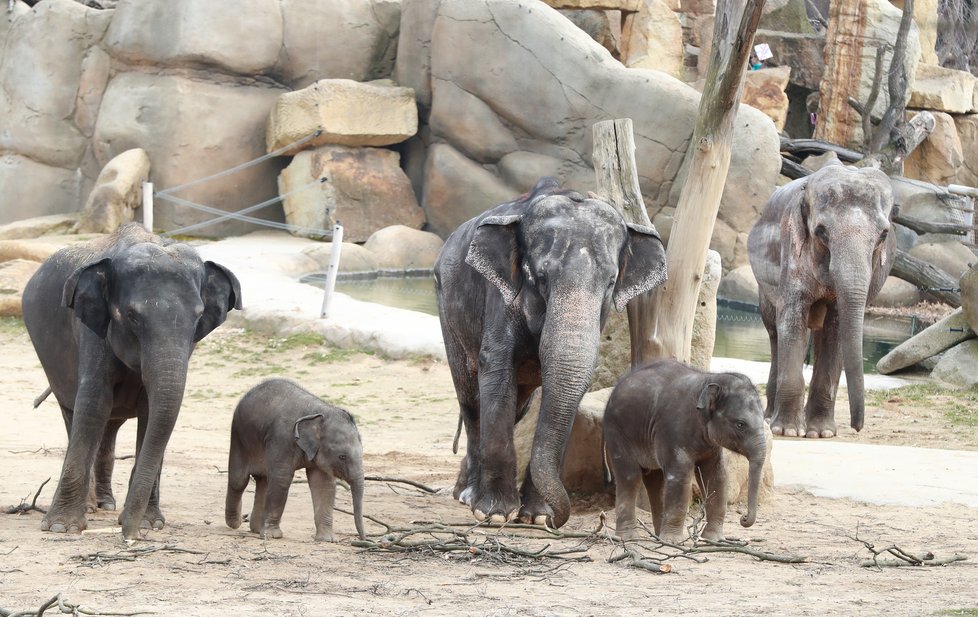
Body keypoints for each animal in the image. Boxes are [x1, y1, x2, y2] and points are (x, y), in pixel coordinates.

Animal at [22, 223, 240, 540]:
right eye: (131, 316)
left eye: (199, 317)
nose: (129, 535)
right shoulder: (93, 331)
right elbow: (94, 404)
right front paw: (62, 527)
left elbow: (152, 412)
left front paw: (150, 523)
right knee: (76, 414)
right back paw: (91, 506)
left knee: (110, 426)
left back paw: (105, 503)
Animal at [225, 378, 366, 540]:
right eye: (342, 456)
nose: (363, 538)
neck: (318, 412)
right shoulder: (282, 439)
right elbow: (282, 479)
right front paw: (273, 536)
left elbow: (324, 484)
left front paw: (327, 539)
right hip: (239, 439)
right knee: (239, 481)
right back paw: (235, 523)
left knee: (263, 481)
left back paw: (256, 529)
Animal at [432, 176, 664, 528]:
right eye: (539, 277)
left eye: (611, 282)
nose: (557, 520)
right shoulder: (500, 296)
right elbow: (496, 372)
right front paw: (496, 513)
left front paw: (537, 517)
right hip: (447, 308)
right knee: (471, 399)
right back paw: (468, 496)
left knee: (519, 406)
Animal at [604, 358, 772, 540]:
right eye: (740, 424)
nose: (744, 518)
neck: (709, 379)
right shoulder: (672, 431)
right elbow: (680, 476)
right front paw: (675, 541)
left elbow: (716, 477)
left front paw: (713, 539)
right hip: (617, 433)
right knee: (630, 476)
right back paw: (629, 537)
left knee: (656, 481)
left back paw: (659, 537)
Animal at [748, 161, 892, 436]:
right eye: (820, 232)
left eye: (883, 235)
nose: (857, 427)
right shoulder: (792, 251)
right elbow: (792, 317)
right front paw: (787, 431)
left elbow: (835, 328)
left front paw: (821, 433)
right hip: (764, 287)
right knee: (774, 332)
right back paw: (769, 419)